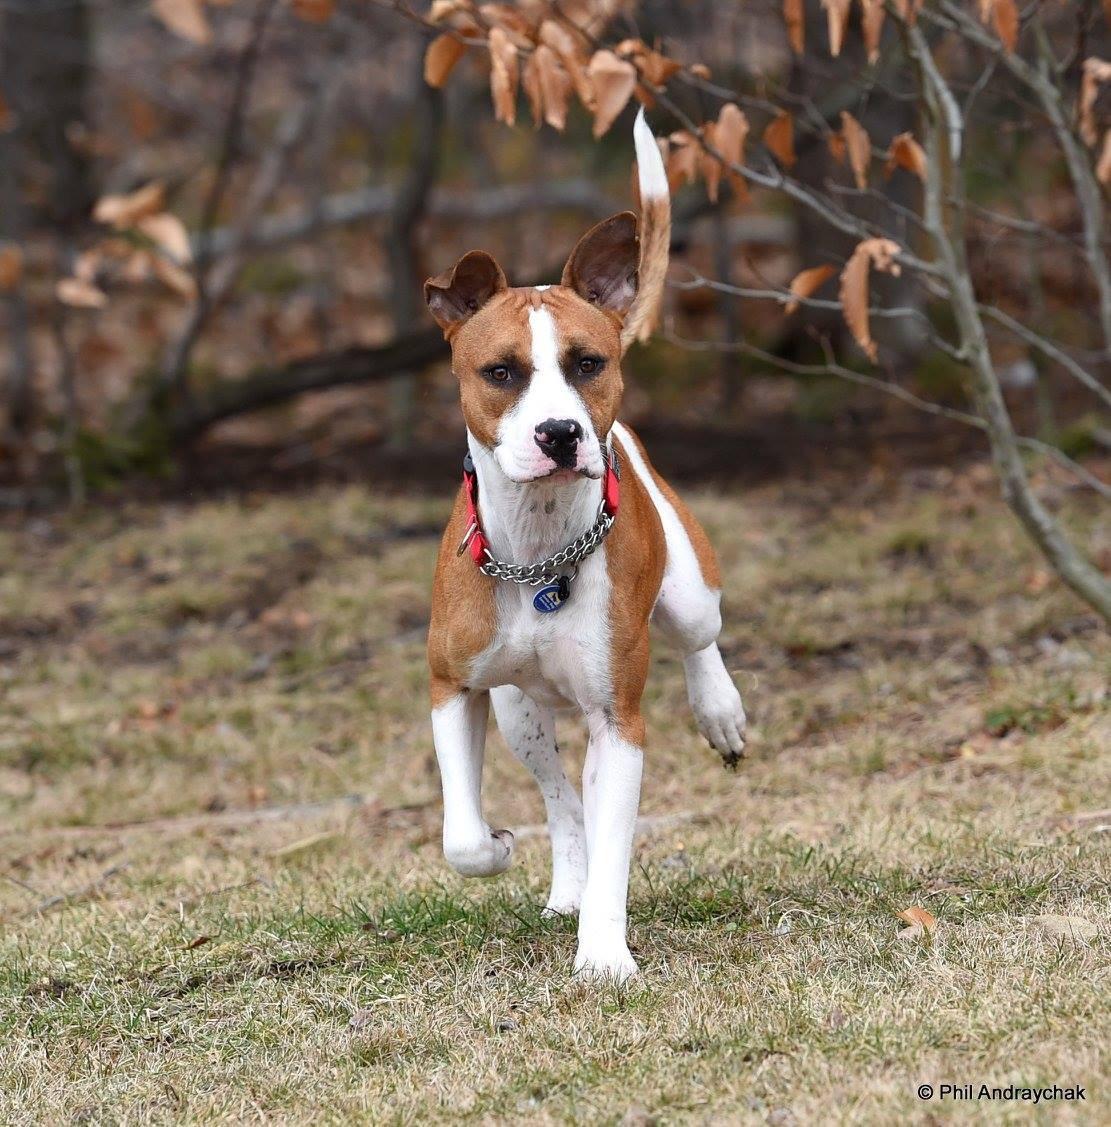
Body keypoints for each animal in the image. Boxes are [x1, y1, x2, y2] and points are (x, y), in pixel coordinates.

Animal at [423, 109, 743, 982]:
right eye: (500, 371)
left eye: (587, 362)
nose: (560, 432)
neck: (536, 548)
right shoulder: (452, 689)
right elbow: (463, 837)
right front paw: (499, 850)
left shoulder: (617, 723)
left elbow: (615, 843)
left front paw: (602, 951)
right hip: (517, 711)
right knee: (559, 799)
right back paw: (563, 879)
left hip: (687, 591)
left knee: (699, 638)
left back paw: (719, 711)